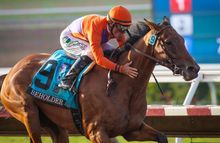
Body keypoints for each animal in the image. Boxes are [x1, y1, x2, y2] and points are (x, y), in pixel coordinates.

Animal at [0, 17, 199, 143]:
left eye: (182, 39)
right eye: (168, 42)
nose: (194, 69)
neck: (123, 86)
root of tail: (11, 71)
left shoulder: (132, 129)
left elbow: (162, 137)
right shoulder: (96, 132)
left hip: (54, 125)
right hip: (29, 115)